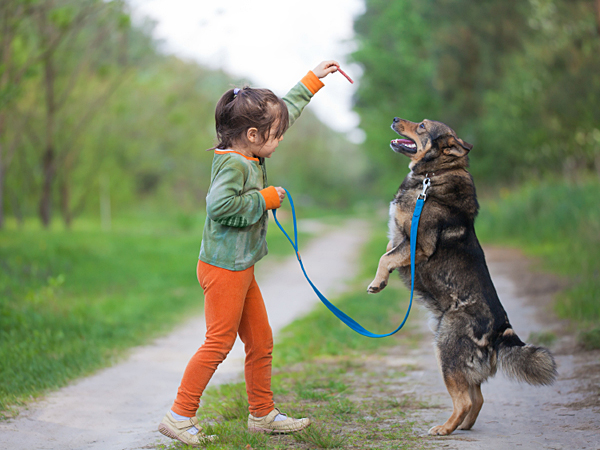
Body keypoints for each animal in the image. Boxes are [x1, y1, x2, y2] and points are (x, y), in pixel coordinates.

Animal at [366, 117, 556, 436]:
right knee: (477, 397)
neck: (434, 175)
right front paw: (384, 278)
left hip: (446, 352)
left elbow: (385, 258)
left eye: (421, 126)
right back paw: (463, 427)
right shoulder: (400, 240)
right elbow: (389, 252)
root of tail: (501, 328)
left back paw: (444, 429)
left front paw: (377, 282)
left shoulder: (418, 244)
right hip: (457, 359)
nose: (394, 119)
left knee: (466, 400)